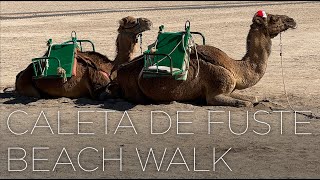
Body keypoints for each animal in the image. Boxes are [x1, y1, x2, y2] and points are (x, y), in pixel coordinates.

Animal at [15, 16, 153, 99]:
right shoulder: (97, 89)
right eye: (132, 22)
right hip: (29, 88)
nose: (149, 22)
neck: (110, 67)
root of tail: (20, 74)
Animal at [108, 10, 298, 107]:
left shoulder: (230, 88)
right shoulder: (216, 92)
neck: (235, 68)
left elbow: (254, 99)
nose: (292, 20)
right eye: (273, 18)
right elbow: (245, 104)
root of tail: (119, 70)